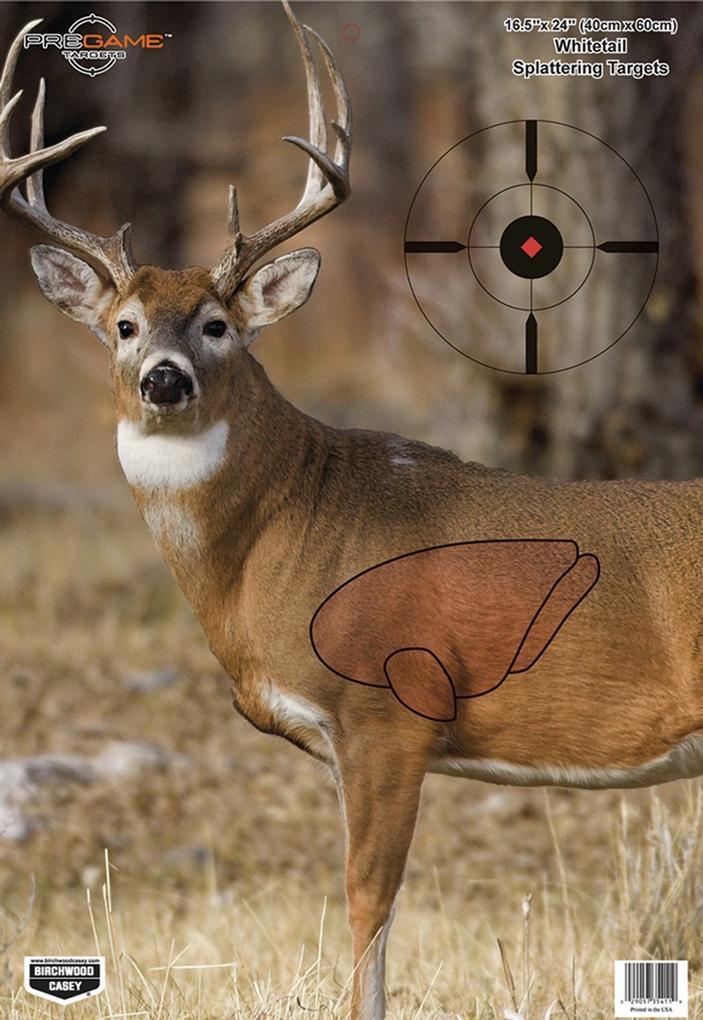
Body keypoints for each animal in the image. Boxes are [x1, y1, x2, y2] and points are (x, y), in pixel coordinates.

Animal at [3, 6, 703, 1019]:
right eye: (123, 326)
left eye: (217, 324)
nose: (164, 379)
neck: (283, 535)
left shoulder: (386, 710)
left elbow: (367, 901)